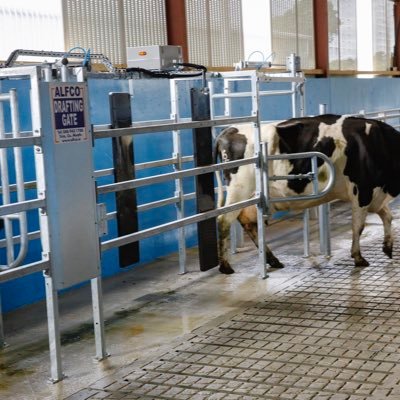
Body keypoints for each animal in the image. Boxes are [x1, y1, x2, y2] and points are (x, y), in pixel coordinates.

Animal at [216, 114, 400, 274]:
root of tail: (229, 130)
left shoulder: (376, 194)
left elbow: (387, 216)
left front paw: (388, 247)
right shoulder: (362, 191)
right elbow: (359, 226)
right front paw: (358, 257)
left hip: (254, 198)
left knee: (248, 222)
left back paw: (273, 260)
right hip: (239, 190)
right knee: (224, 220)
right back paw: (225, 266)